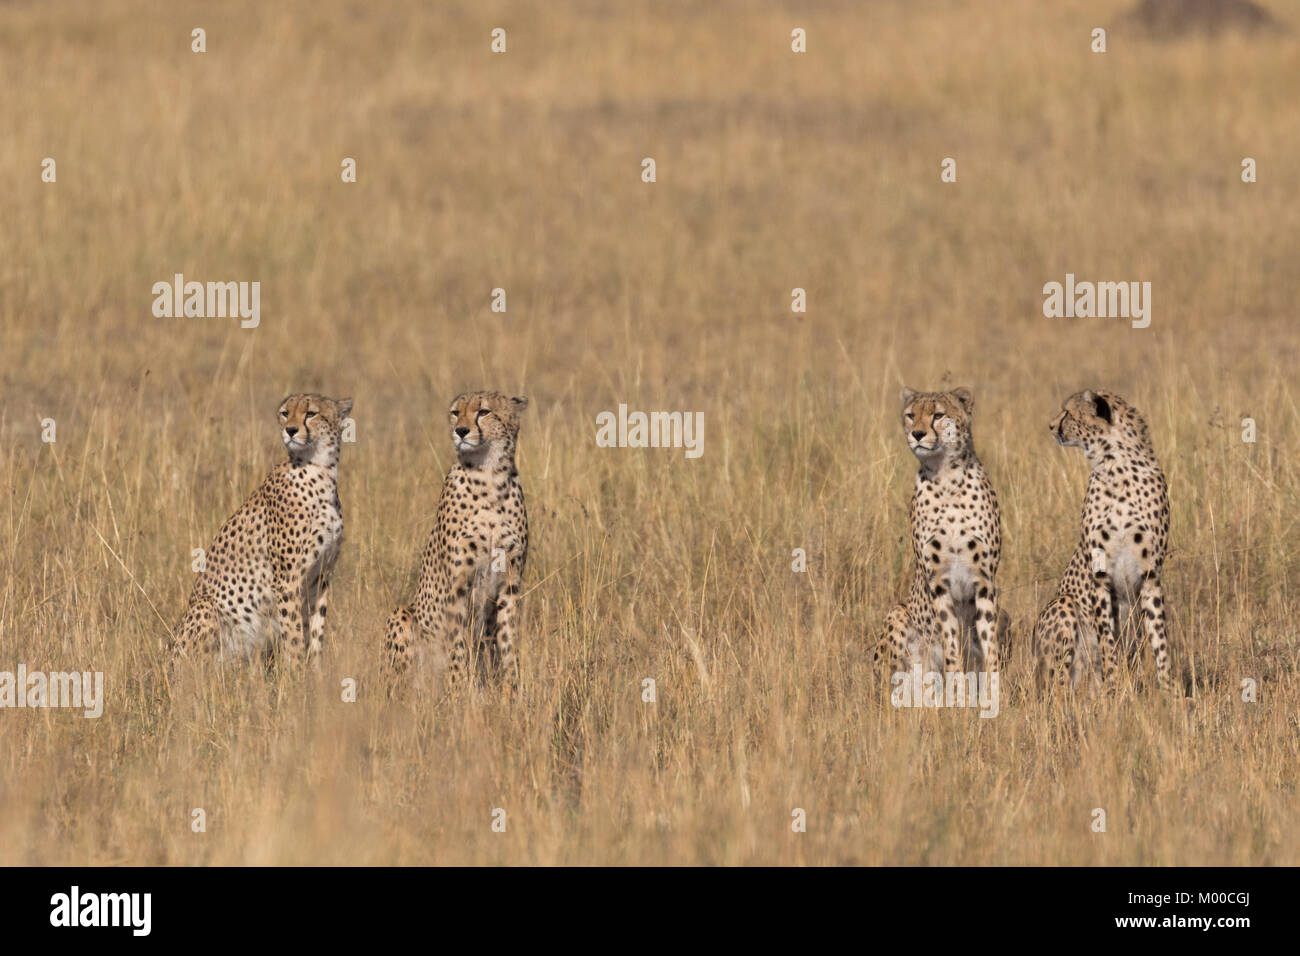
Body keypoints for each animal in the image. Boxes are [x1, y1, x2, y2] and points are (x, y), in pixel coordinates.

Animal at [172, 392, 358, 671]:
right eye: (285, 413)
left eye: (311, 413)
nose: (290, 430)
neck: (321, 470)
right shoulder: (288, 580)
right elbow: (294, 635)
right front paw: (296, 675)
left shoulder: (321, 576)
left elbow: (315, 632)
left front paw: (316, 673)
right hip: (206, 607)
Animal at [384, 390, 527, 686]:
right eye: (455, 412)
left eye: (483, 412)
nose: (460, 431)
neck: (489, 476)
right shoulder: (458, 583)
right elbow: (457, 644)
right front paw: (459, 688)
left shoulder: (510, 581)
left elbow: (508, 640)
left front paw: (512, 688)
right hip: (402, 615)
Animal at [873, 387, 1003, 671]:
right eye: (911, 415)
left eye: (938, 415)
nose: (917, 434)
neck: (946, 479)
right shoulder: (938, 581)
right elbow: (950, 641)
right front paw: (956, 680)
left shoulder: (984, 579)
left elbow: (989, 640)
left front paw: (994, 680)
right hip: (897, 613)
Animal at [1029, 392, 1175, 691]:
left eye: (1068, 413)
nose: (1050, 426)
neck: (1116, 466)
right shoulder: (1100, 573)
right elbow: (1108, 642)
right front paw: (1114, 689)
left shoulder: (1150, 574)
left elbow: (1160, 639)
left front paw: (1170, 691)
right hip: (1063, 605)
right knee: (1058, 686)